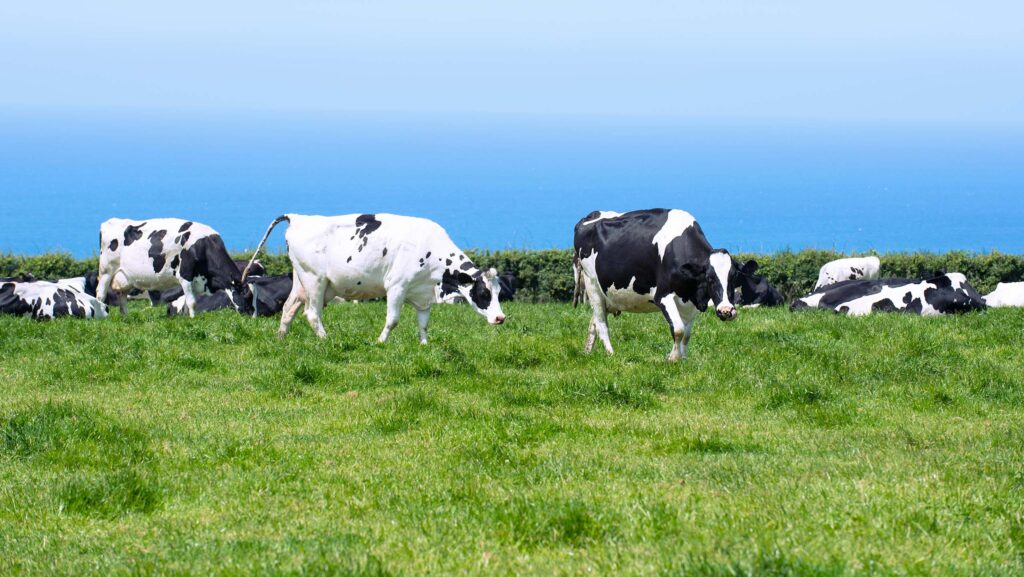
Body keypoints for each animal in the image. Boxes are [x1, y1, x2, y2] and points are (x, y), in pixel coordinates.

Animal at [97, 218, 247, 317]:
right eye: (245, 293)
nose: (249, 314)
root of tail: (110, 222)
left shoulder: (197, 280)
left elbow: (187, 302)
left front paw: (186, 318)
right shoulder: (185, 275)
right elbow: (192, 302)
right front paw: (193, 319)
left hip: (124, 276)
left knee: (122, 295)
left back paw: (125, 317)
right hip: (106, 270)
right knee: (100, 293)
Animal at [243, 215, 507, 342]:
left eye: (498, 293)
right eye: (483, 293)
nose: (500, 318)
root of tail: (298, 217)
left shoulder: (422, 294)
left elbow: (423, 323)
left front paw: (424, 345)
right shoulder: (397, 286)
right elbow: (393, 320)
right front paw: (381, 341)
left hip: (301, 281)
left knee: (289, 309)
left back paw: (281, 339)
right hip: (315, 280)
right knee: (311, 313)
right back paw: (326, 339)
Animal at [569, 208, 745, 360]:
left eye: (734, 277)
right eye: (709, 278)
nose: (726, 311)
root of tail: (591, 216)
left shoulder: (690, 301)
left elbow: (687, 334)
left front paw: (683, 358)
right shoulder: (662, 296)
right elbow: (678, 329)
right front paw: (672, 358)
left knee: (594, 323)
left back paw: (587, 351)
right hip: (592, 285)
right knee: (601, 324)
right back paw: (611, 354)